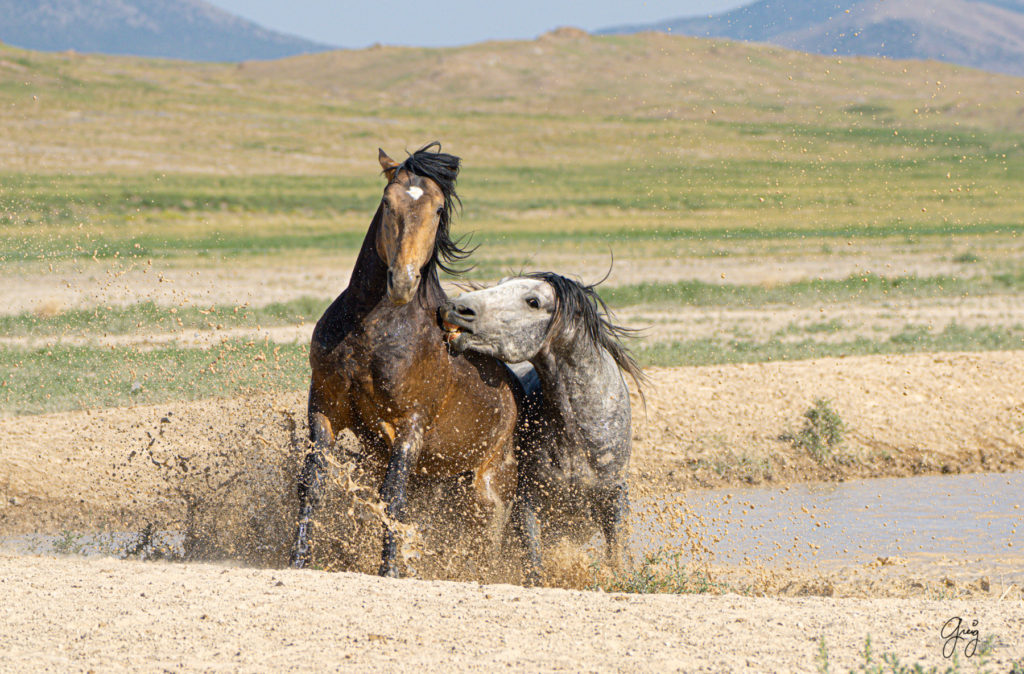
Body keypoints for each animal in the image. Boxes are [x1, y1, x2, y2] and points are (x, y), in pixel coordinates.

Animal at [292, 141, 524, 573]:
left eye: (438, 209)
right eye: (388, 202)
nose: (401, 281)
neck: (369, 332)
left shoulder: (409, 426)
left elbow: (393, 498)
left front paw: (390, 569)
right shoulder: (326, 408)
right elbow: (312, 483)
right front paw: (297, 559)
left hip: (489, 488)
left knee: (489, 540)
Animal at [436, 272, 643, 581]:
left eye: (533, 301)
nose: (455, 308)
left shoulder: (613, 497)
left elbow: (618, 558)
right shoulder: (528, 501)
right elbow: (533, 564)